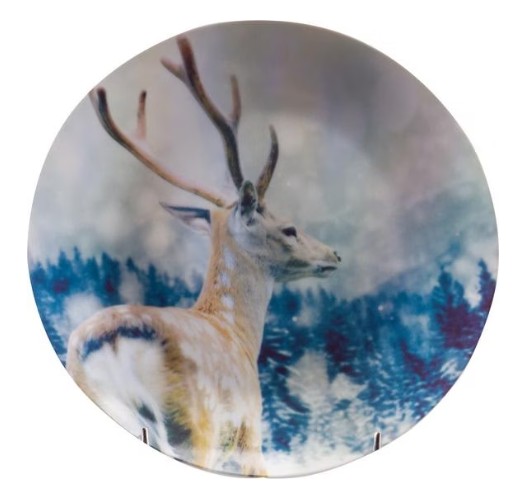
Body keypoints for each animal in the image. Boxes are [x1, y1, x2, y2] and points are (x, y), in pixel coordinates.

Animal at [66, 36, 341, 477]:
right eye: (289, 228)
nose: (333, 254)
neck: (239, 334)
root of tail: (111, 339)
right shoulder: (249, 431)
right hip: (192, 422)